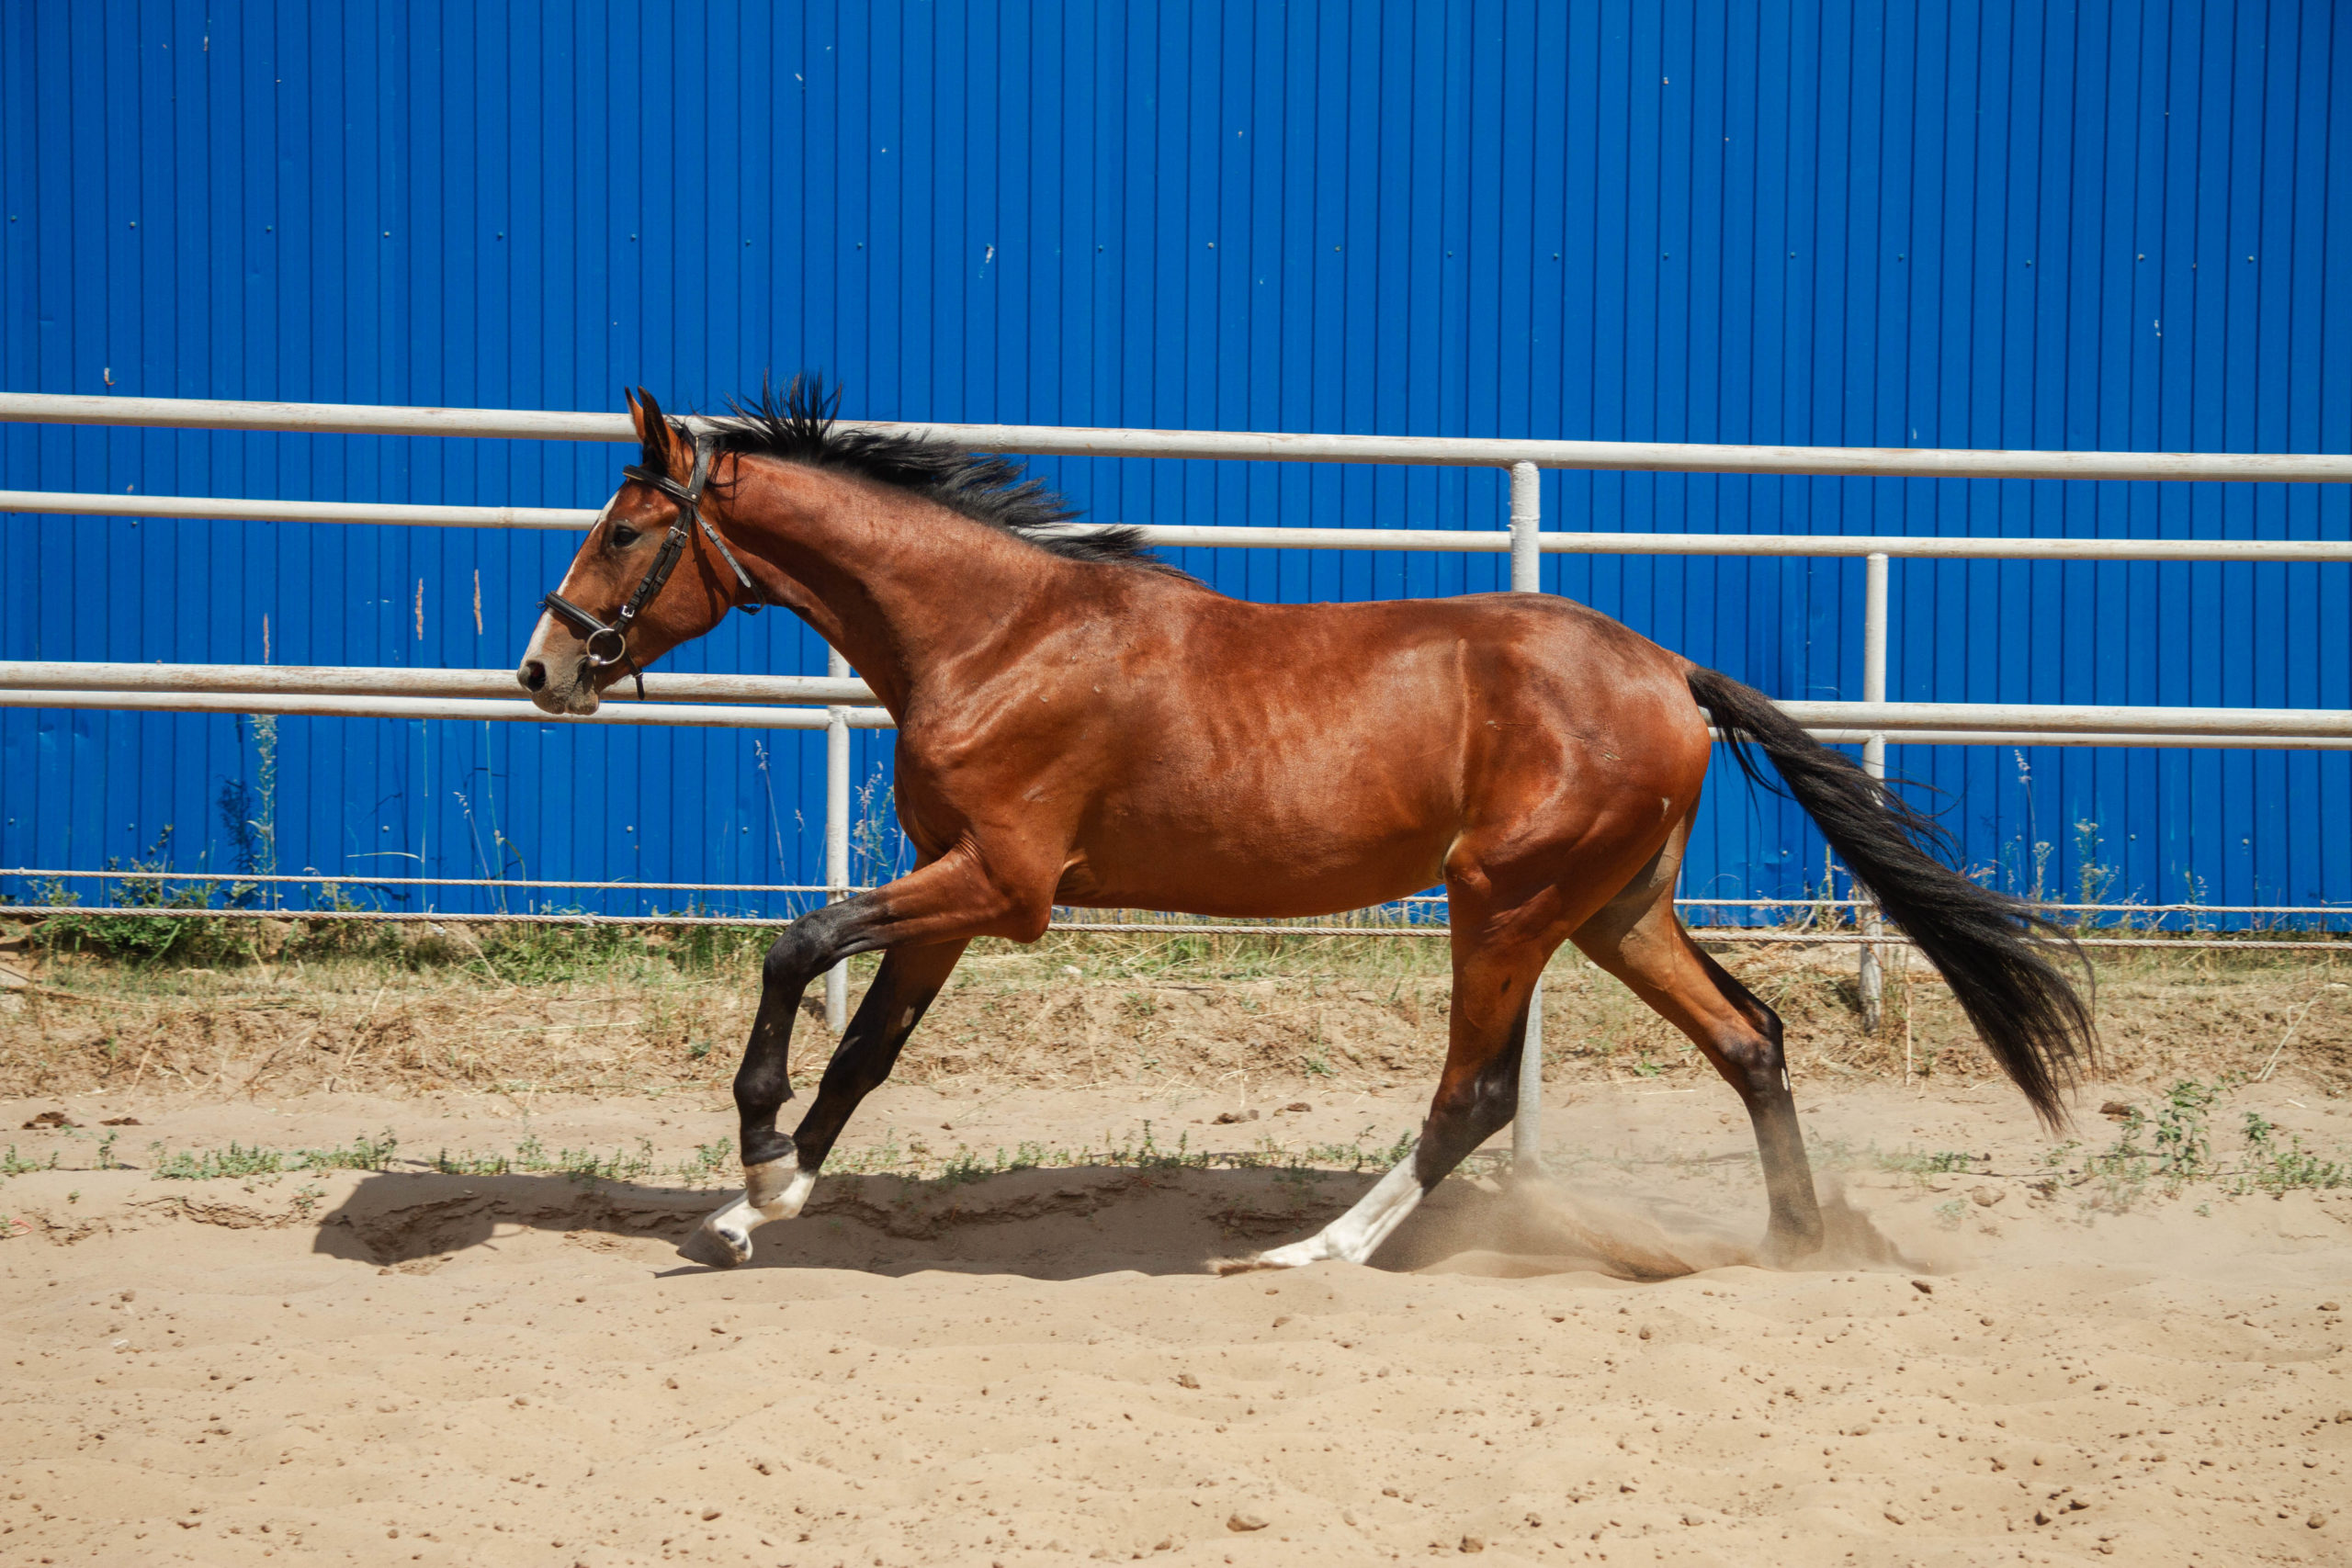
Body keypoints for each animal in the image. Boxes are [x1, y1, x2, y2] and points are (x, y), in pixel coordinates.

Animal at [519, 380, 2098, 1279]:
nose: (541, 669)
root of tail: (1668, 671)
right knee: (1751, 1036)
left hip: (1505, 902)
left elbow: (798, 951)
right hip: (1614, 907)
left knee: (1475, 1094)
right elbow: (866, 1050)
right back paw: (1793, 1248)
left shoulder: (1002, 883)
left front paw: (752, 1158)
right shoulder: (950, 888)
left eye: (622, 527)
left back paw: (1314, 1249)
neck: (996, 634)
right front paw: (758, 1206)